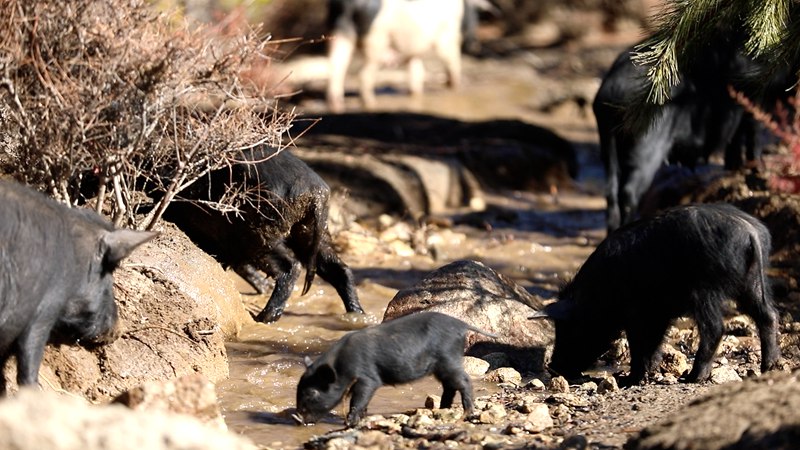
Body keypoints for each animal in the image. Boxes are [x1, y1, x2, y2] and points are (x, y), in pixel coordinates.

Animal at [166, 146, 366, 322]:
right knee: (339, 268)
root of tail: (316, 191)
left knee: (291, 266)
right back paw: (357, 315)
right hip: (311, 232)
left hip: (258, 234)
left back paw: (263, 318)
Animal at [294, 312, 494, 428]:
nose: (299, 420)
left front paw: (350, 423)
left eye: (312, 392)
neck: (341, 366)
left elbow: (358, 400)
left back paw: (468, 413)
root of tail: (462, 325)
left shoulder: (368, 379)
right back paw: (442, 409)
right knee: (449, 386)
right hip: (442, 366)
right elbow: (362, 403)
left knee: (464, 381)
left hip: (448, 359)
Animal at [532, 204, 780, 384]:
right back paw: (768, 368)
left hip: (706, 289)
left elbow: (639, 343)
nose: (553, 367)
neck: (598, 293)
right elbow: (655, 341)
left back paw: (692, 378)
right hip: (751, 283)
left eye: (567, 329)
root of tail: (749, 231)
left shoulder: (637, 313)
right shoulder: (659, 314)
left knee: (715, 328)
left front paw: (631, 380)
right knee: (768, 315)